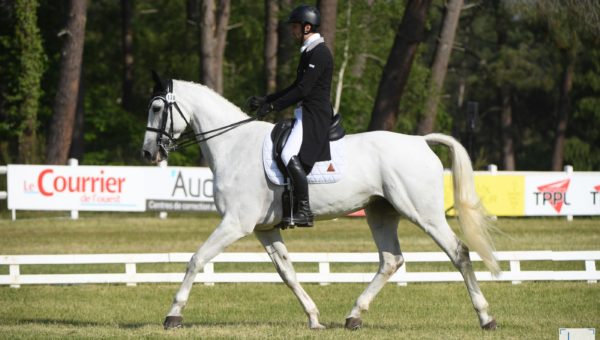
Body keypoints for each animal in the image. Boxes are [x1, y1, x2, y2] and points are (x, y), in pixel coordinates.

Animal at [142, 77, 502, 332]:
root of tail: (420, 141)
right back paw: (354, 316)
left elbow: (196, 259)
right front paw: (314, 318)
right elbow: (286, 272)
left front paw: (173, 315)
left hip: (422, 213)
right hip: (381, 212)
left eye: (157, 109)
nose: (148, 153)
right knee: (391, 260)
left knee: (458, 252)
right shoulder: (264, 229)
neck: (233, 145)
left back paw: (486, 317)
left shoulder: (235, 223)